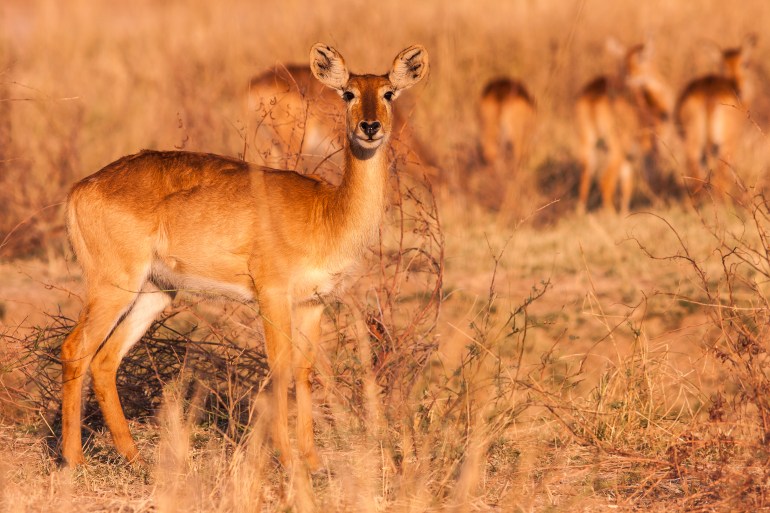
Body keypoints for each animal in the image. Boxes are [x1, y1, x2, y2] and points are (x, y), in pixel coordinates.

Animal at [60, 43, 428, 468]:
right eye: (348, 93)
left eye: (389, 93)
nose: (370, 127)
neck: (327, 213)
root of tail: (80, 188)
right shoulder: (272, 295)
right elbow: (279, 369)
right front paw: (288, 459)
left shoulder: (313, 303)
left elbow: (303, 371)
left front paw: (313, 460)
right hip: (113, 286)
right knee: (75, 349)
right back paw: (74, 460)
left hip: (155, 292)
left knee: (105, 360)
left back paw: (135, 458)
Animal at [572, 40, 668, 214]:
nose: (630, 75)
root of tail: (594, 93)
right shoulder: (653, 151)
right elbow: (654, 178)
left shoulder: (630, 157)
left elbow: (627, 184)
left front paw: (625, 213)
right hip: (616, 148)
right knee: (605, 181)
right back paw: (610, 214)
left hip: (588, 143)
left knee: (585, 176)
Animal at [672, 32, 756, 196]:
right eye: (723, 65)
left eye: (744, 63)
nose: (738, 87)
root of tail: (709, 94)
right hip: (724, 143)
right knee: (720, 175)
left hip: (693, 143)